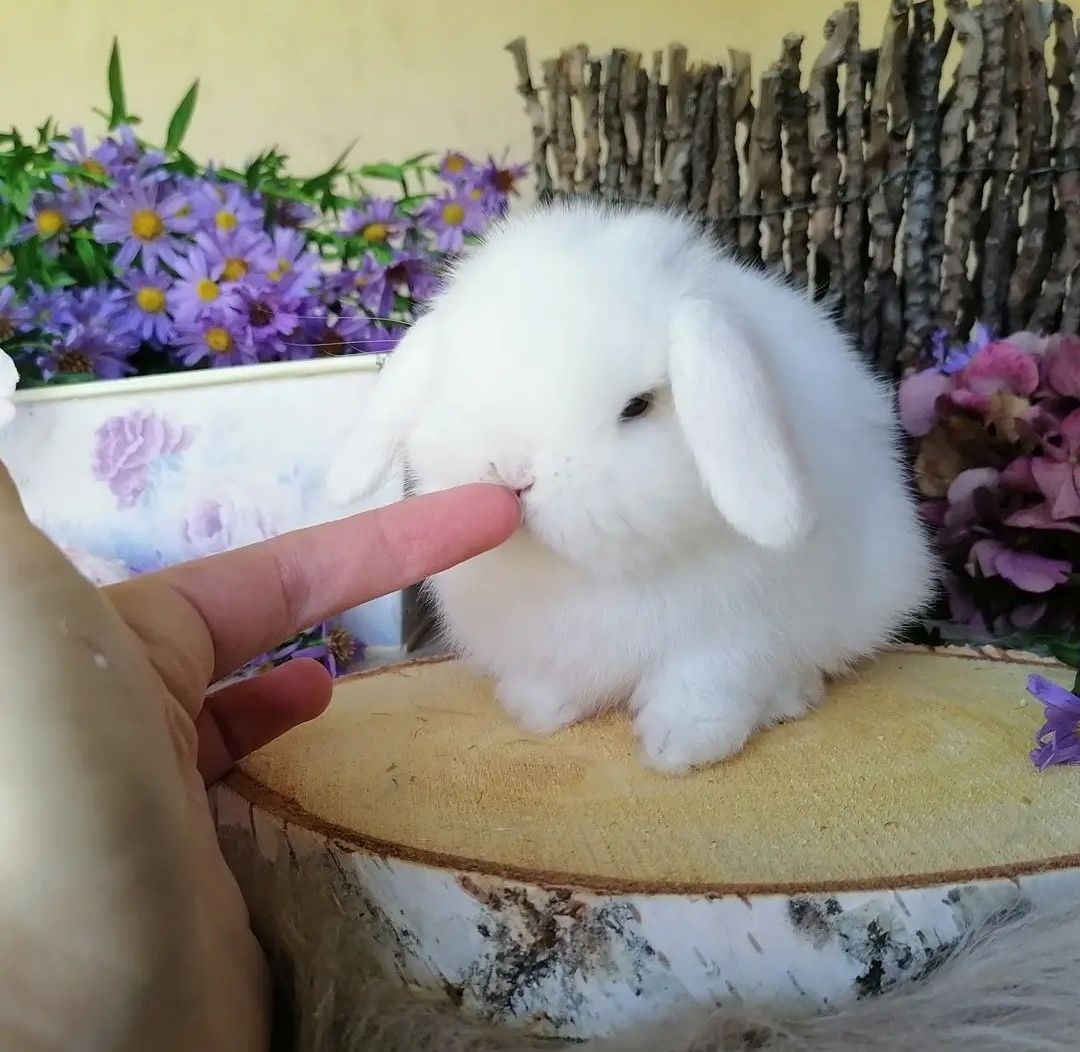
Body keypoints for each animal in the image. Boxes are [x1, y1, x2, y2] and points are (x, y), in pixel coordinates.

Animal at [326, 199, 937, 773]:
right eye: (456, 383)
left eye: (638, 406)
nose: (514, 475)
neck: (591, 574)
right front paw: (537, 709)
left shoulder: (730, 635)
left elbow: (703, 686)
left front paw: (681, 748)